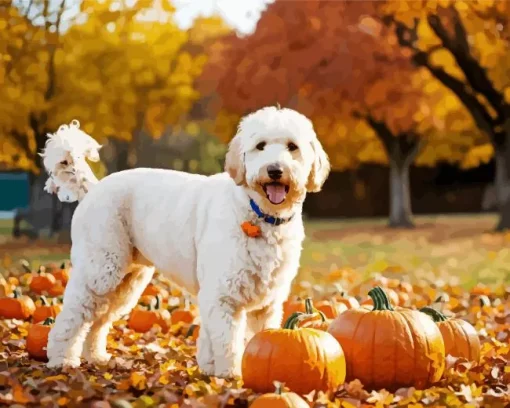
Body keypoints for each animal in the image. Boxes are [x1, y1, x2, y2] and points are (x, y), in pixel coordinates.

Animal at [40, 107, 330, 378]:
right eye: (260, 146)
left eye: (292, 147)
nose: (275, 170)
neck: (258, 214)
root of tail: (94, 188)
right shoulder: (223, 295)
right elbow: (228, 342)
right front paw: (230, 375)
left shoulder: (266, 304)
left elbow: (248, 337)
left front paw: (212, 369)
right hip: (101, 271)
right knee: (72, 316)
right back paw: (61, 360)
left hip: (126, 282)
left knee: (98, 321)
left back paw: (96, 356)